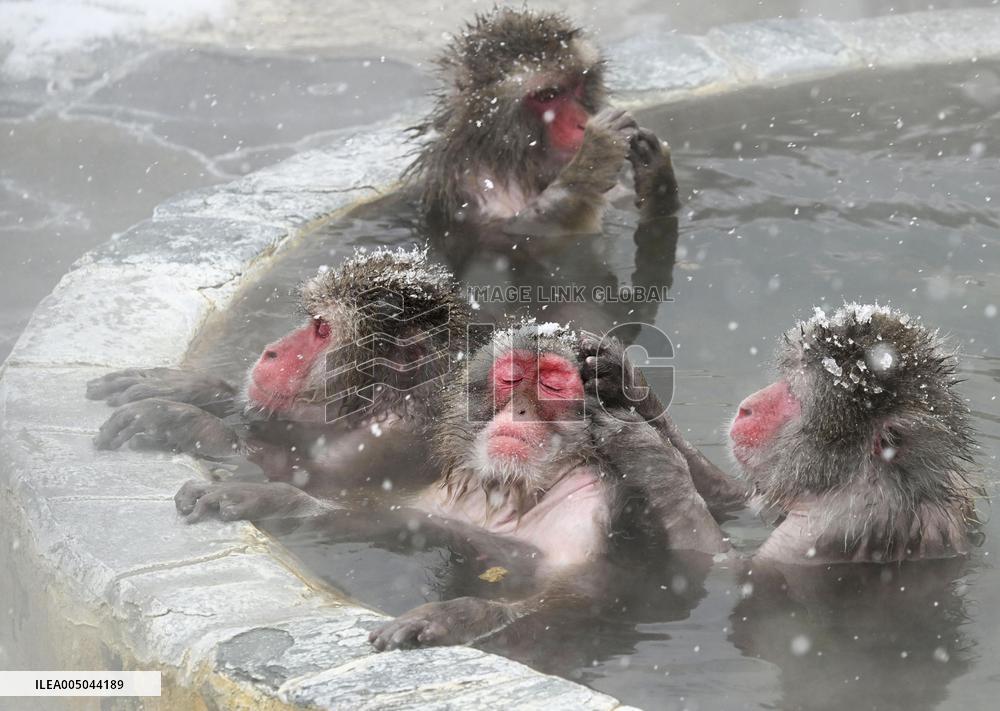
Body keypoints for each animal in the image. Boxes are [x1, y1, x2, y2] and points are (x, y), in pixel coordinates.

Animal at [87, 247, 469, 492]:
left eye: (323, 330)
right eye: (314, 322)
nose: (271, 351)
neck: (384, 405)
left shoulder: (385, 445)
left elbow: (308, 480)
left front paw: (185, 422)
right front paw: (190, 388)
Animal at [173, 320, 725, 649]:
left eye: (551, 383)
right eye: (510, 378)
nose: (519, 411)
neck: (518, 489)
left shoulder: (594, 511)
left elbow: (583, 597)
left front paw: (456, 616)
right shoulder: (450, 501)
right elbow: (393, 520)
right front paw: (266, 496)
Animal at [408, 7, 680, 236]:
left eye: (578, 84)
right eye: (547, 96)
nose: (582, 123)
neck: (513, 160)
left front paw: (655, 170)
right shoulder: (476, 186)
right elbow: (526, 230)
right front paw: (594, 157)